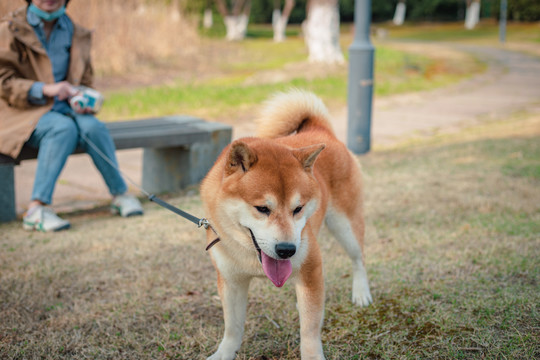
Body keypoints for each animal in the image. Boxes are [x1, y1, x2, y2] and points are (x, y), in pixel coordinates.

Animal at [200, 90, 374, 360]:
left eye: (298, 209)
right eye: (262, 208)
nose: (286, 250)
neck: (252, 258)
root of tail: (320, 130)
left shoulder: (311, 268)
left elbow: (310, 330)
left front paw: (312, 356)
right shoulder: (231, 281)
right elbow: (232, 327)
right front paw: (224, 353)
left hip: (346, 226)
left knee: (358, 259)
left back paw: (361, 293)